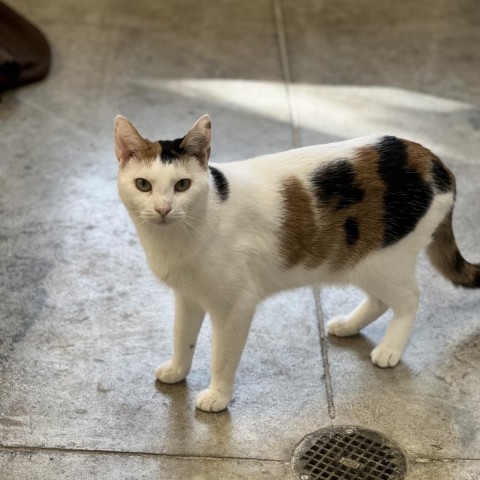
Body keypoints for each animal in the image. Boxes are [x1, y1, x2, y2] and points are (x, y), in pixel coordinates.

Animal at [114, 113, 478, 412]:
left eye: (182, 185)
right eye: (143, 184)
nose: (162, 209)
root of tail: (436, 163)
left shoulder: (236, 306)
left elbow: (222, 356)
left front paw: (218, 395)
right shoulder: (188, 296)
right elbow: (182, 336)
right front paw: (177, 369)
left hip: (387, 260)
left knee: (410, 300)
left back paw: (390, 348)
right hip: (360, 259)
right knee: (380, 300)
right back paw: (348, 325)